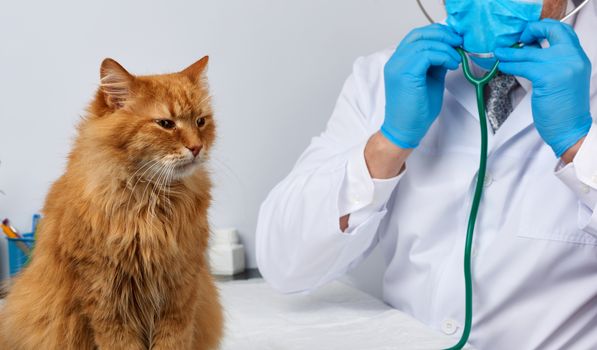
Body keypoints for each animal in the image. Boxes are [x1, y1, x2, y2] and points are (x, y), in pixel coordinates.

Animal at [0, 56, 222, 348]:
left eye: (200, 121)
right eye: (166, 124)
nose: (197, 148)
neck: (150, 200)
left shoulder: (180, 293)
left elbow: (173, 340)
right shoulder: (107, 295)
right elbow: (120, 341)